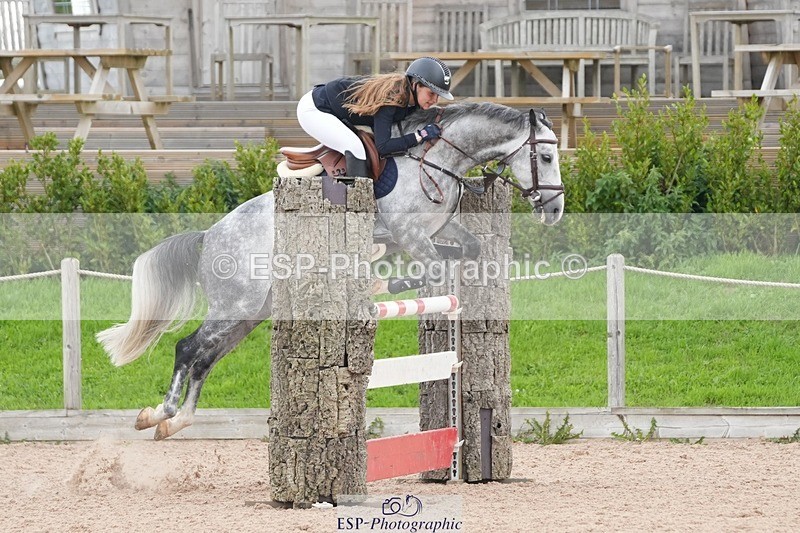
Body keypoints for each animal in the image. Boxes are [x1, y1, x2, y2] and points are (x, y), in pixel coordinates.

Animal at [96, 101, 564, 440]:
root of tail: (210, 234)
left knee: (205, 357)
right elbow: (429, 270)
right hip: (236, 304)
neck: (434, 158)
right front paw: (385, 281)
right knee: (187, 348)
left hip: (250, 313)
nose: (556, 210)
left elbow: (469, 248)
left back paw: (172, 421)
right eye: (544, 155)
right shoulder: (409, 233)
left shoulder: (438, 228)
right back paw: (160, 414)